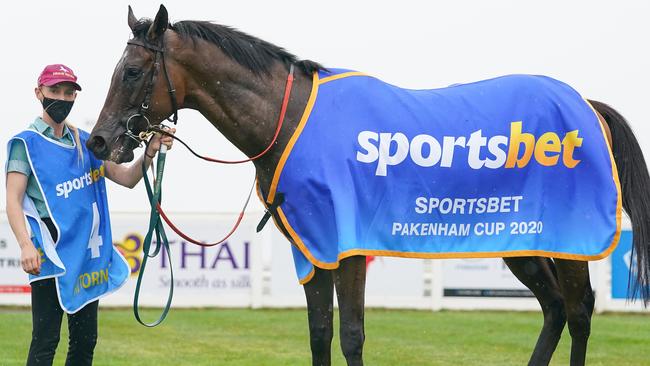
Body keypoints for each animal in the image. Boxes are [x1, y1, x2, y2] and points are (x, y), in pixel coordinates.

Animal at [87, 4, 648, 364]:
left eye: (132, 71)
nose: (99, 142)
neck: (291, 120)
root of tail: (588, 105)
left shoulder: (348, 246)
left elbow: (351, 334)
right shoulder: (310, 246)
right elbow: (320, 333)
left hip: (572, 239)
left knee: (578, 311)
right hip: (522, 239)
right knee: (554, 309)